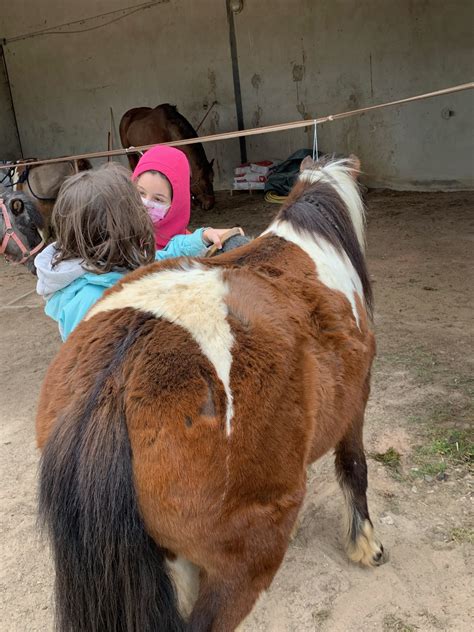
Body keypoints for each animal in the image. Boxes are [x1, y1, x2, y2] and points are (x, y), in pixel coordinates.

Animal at [37, 154, 386, 632]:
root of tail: (114, 381)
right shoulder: (356, 401)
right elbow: (355, 468)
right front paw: (365, 544)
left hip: (173, 563)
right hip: (240, 564)